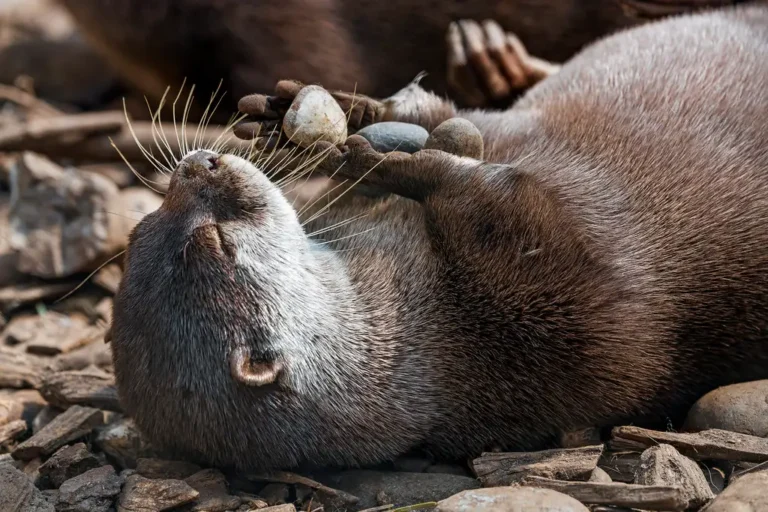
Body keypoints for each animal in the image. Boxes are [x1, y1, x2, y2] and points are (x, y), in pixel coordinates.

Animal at [108, 4, 768, 470]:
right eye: (215, 241)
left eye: (143, 225)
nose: (199, 164)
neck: (427, 306)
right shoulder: (586, 312)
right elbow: (513, 202)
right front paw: (391, 163)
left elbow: (440, 118)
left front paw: (338, 116)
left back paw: (491, 57)